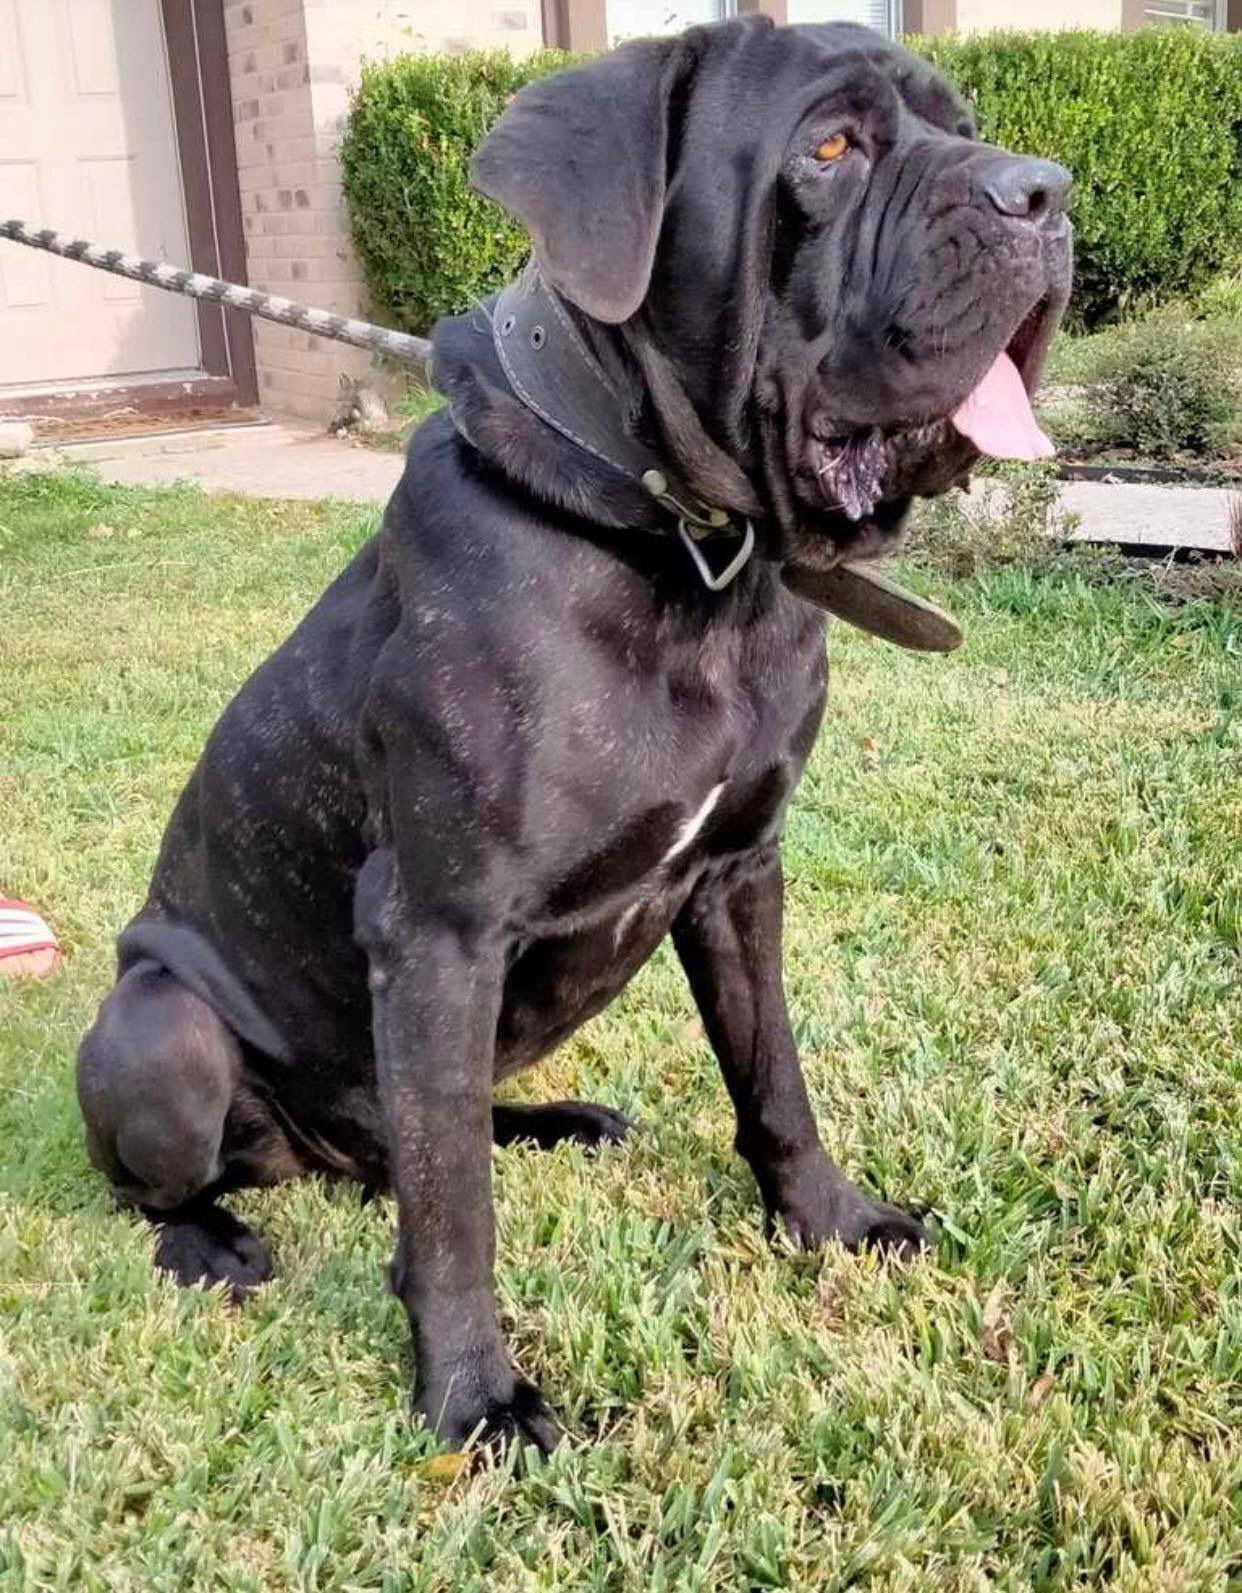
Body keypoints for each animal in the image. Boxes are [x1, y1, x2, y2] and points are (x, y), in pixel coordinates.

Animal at [75, 15, 1070, 1459]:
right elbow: (454, 1217)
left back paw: (555, 1120)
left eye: (966, 125)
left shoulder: (737, 873)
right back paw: (210, 1241)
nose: (1043, 193)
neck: (686, 547)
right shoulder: (439, 926)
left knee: (433, 1131)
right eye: (831, 148)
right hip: (160, 1028)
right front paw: (475, 1400)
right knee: (212, 1176)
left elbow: (773, 1074)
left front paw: (828, 1221)